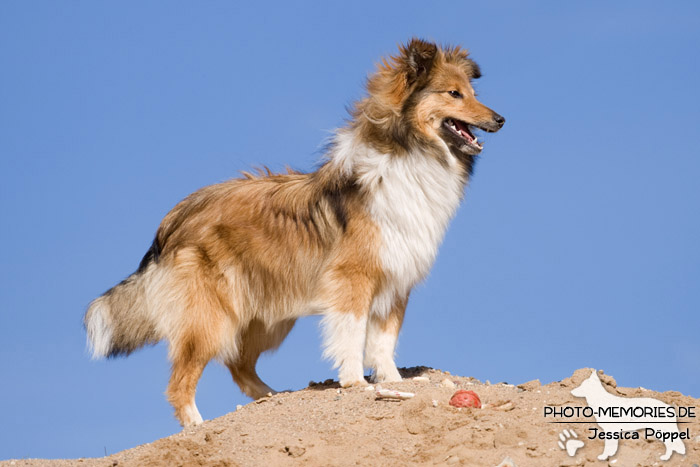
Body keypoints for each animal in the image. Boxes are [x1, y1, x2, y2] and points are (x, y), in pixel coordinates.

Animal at [85, 39, 506, 428]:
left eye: (472, 92)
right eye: (454, 94)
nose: (501, 119)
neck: (410, 153)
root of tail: (171, 221)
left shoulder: (396, 278)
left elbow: (385, 341)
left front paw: (392, 381)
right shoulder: (353, 278)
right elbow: (353, 334)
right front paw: (355, 382)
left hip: (264, 319)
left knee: (240, 365)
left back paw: (272, 397)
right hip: (212, 317)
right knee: (181, 381)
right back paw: (197, 426)